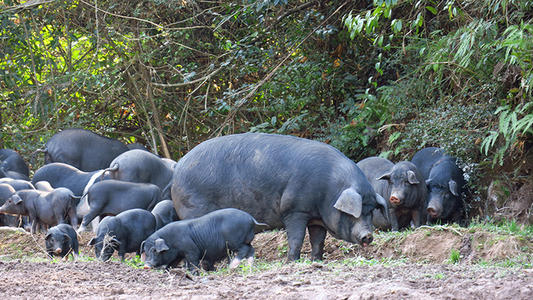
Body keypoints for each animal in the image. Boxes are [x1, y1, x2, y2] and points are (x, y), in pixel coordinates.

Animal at [170, 132, 382, 262]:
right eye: (354, 213)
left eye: (371, 211)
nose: (368, 235)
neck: (330, 192)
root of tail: (178, 168)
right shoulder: (295, 209)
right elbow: (296, 237)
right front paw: (292, 261)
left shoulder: (317, 218)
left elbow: (318, 240)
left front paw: (317, 260)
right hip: (194, 209)